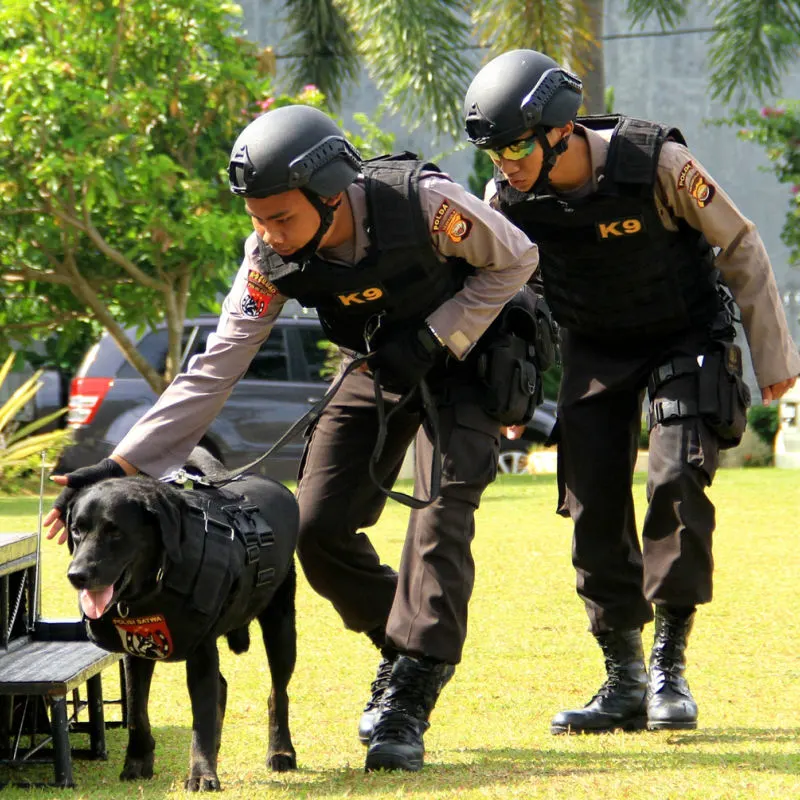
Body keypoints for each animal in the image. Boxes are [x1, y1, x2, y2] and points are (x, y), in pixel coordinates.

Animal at [66, 454, 300, 792]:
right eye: (76, 530)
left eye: (114, 531)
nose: (77, 575)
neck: (158, 582)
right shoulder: (135, 654)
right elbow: (137, 713)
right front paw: (137, 764)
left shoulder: (202, 651)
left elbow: (201, 718)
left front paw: (202, 775)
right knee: (223, 686)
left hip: (281, 627)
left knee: (277, 693)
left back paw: (281, 752)